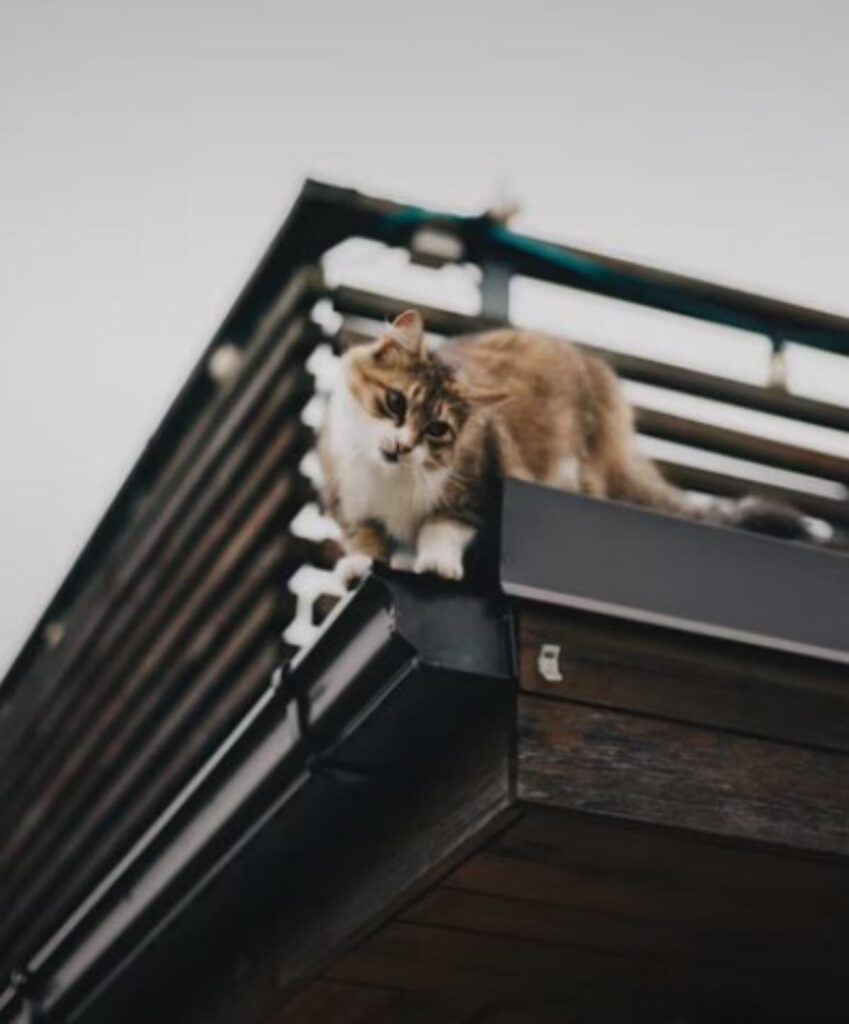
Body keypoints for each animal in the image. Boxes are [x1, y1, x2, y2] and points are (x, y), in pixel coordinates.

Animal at [319, 305, 807, 585]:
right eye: (396, 402)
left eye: (437, 430)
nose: (401, 447)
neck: (388, 478)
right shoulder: (346, 497)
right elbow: (363, 536)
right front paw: (360, 566)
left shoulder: (476, 485)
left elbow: (444, 526)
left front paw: (437, 565)